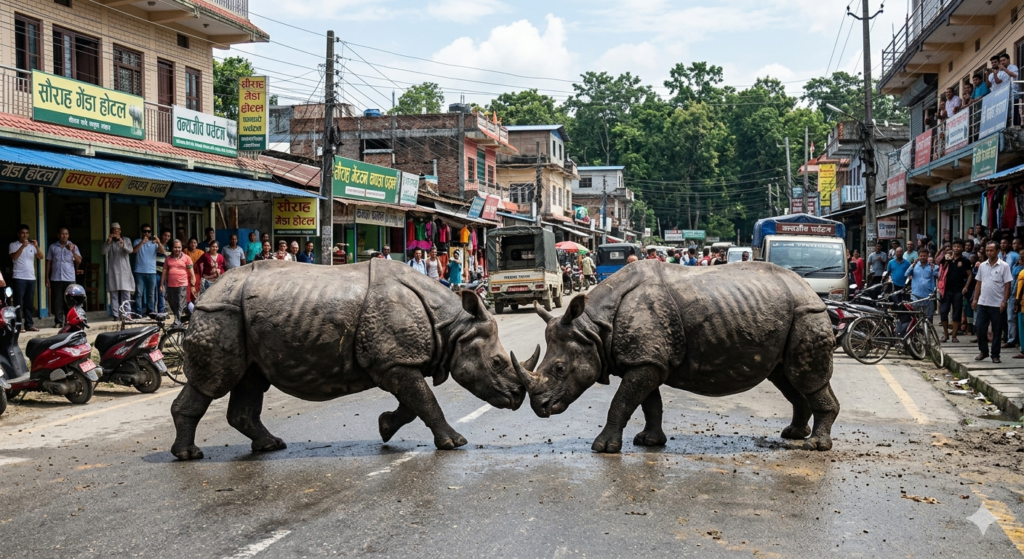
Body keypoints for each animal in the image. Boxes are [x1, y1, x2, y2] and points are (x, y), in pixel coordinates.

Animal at [170, 259, 529, 461]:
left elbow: (414, 404)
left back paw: (272, 446)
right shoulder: (395, 362)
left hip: (238, 316)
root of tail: (205, 292)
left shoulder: (397, 362)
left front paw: (385, 428)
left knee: (251, 380)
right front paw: (455, 443)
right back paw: (190, 456)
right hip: (221, 314)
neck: (452, 328)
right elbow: (425, 401)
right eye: (497, 362)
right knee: (214, 382)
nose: (517, 396)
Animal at [513, 260, 840, 453]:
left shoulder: (645, 361)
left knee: (804, 377)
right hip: (791, 315)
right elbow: (649, 404)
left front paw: (603, 448)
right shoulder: (648, 359)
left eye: (559, 368)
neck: (593, 328)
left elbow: (622, 401)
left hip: (807, 314)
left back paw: (815, 446)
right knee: (786, 378)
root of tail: (811, 290)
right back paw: (793, 434)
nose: (540, 407)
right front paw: (649, 442)